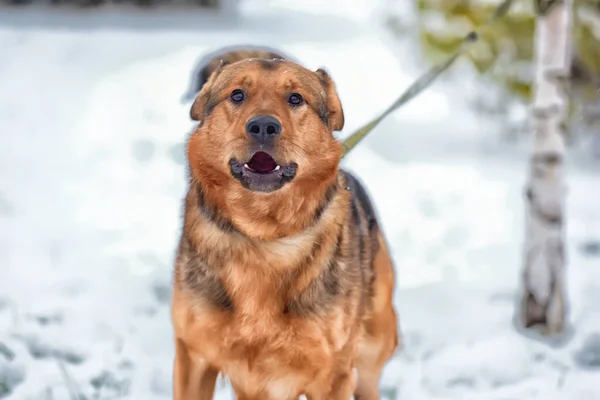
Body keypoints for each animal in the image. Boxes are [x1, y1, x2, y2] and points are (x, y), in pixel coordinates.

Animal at [171, 47, 400, 400]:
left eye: (295, 99)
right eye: (237, 95)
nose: (263, 126)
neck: (263, 235)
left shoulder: (331, 375)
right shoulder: (194, 357)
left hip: (374, 341)